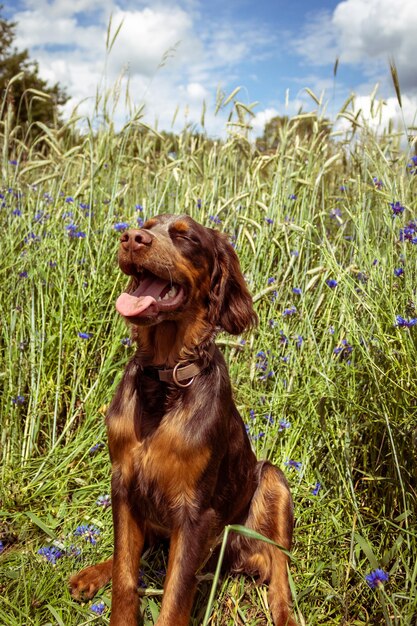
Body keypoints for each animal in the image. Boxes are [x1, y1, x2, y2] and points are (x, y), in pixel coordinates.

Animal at [69, 214, 296, 624]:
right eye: (146, 225)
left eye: (185, 237)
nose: (131, 239)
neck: (165, 381)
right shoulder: (123, 485)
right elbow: (125, 574)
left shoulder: (195, 513)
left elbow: (175, 596)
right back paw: (92, 574)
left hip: (272, 480)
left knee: (278, 562)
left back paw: (284, 611)